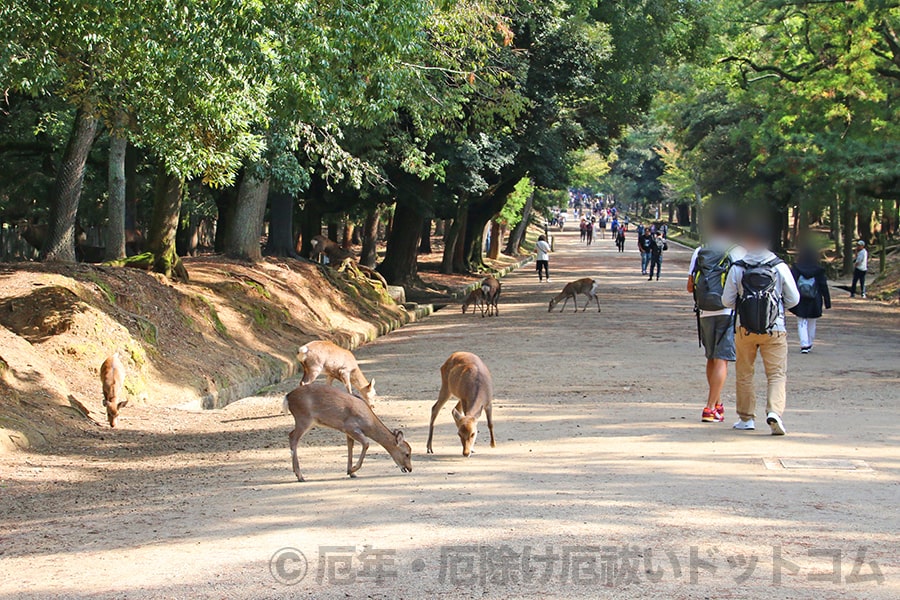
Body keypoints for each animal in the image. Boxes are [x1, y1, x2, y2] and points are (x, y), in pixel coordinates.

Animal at [284, 384, 414, 482]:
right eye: (407, 453)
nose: (410, 468)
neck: (368, 423)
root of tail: (287, 397)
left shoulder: (348, 432)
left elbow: (350, 447)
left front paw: (351, 472)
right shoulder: (351, 427)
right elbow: (366, 443)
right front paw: (352, 470)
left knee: (291, 435)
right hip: (304, 419)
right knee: (293, 437)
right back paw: (300, 476)